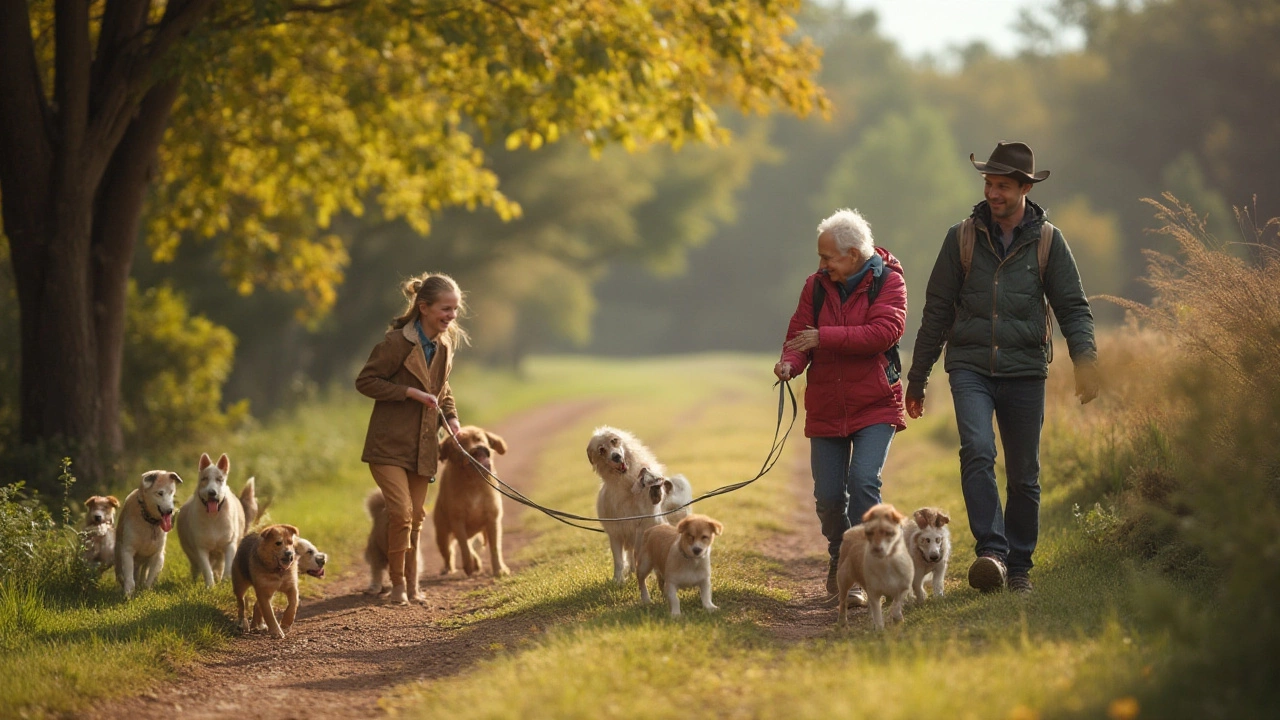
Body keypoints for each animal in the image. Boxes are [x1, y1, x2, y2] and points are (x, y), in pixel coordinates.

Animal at [113, 468, 183, 597]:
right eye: (160, 493)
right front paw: (128, 594)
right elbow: (129, 578)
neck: (148, 520)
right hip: (119, 556)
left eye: (172, 492)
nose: (170, 511)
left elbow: (149, 579)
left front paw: (145, 592)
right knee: (122, 574)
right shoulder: (127, 551)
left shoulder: (157, 555)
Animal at [176, 450, 258, 586]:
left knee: (219, 565)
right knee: (197, 567)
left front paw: (225, 582)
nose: (212, 493)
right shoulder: (201, 548)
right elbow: (206, 568)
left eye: (220, 479)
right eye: (204, 479)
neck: (213, 517)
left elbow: (228, 566)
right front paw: (210, 586)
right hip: (191, 553)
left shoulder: (229, 544)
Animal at [432, 422, 506, 573]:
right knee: (449, 553)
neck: (474, 482)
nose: (477, 449)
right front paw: (468, 566)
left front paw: (499, 571)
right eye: (459, 443)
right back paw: (449, 569)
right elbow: (463, 546)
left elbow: (495, 548)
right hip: (442, 536)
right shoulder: (457, 519)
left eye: (478, 438)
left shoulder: (493, 518)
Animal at [834, 499, 916, 627]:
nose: (876, 548)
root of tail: (853, 530)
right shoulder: (874, 592)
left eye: (888, 532)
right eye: (869, 533)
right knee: (843, 601)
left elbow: (896, 605)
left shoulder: (903, 587)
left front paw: (898, 619)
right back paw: (843, 622)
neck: (886, 563)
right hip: (844, 578)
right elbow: (878, 615)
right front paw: (880, 628)